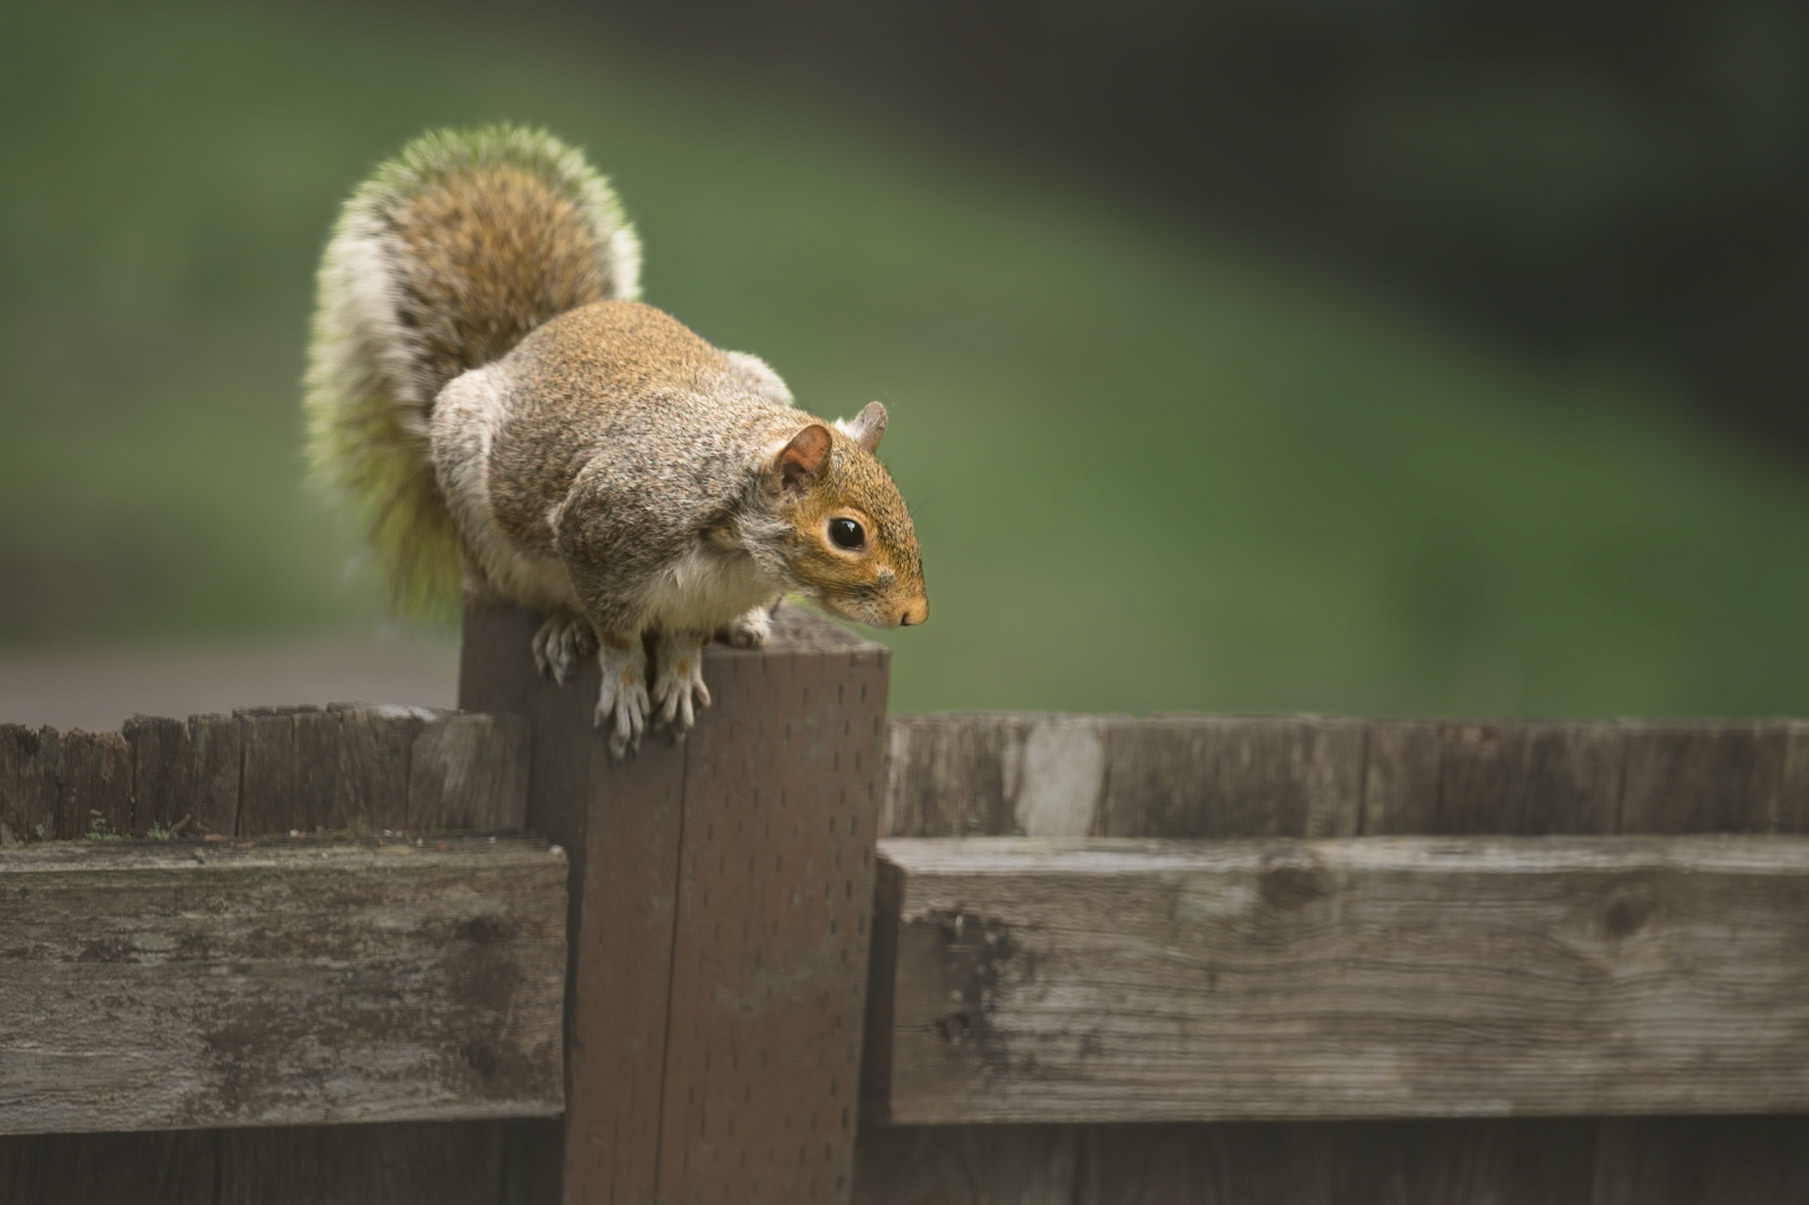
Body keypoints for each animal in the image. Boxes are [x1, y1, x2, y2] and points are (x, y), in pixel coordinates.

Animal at [304, 126, 928, 758]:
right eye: (846, 533)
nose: (915, 613)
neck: (736, 553)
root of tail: (528, 343)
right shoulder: (596, 530)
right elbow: (620, 637)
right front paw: (626, 684)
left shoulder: (699, 601)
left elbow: (683, 640)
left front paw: (679, 673)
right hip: (484, 529)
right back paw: (564, 627)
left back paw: (746, 622)